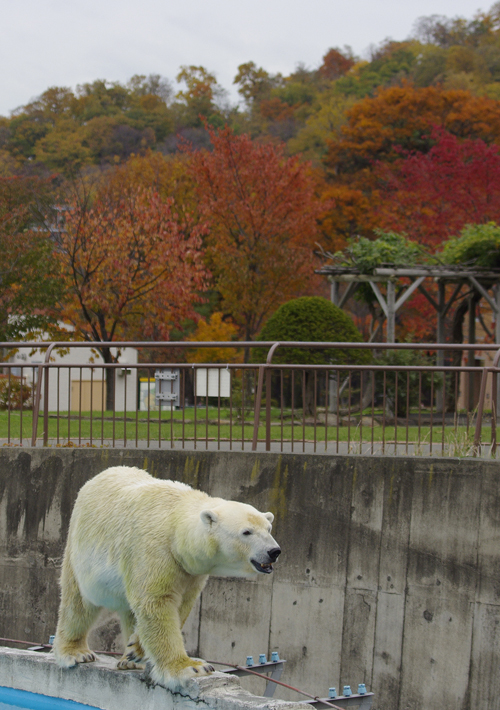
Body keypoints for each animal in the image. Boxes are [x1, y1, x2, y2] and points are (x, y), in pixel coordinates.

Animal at [55, 468, 284, 688]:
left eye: (269, 528)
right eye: (247, 532)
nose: (274, 551)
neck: (175, 523)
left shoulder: (190, 570)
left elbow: (180, 604)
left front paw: (136, 649)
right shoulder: (154, 550)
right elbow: (156, 602)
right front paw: (190, 667)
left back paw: (129, 659)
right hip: (80, 551)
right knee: (78, 603)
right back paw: (76, 652)